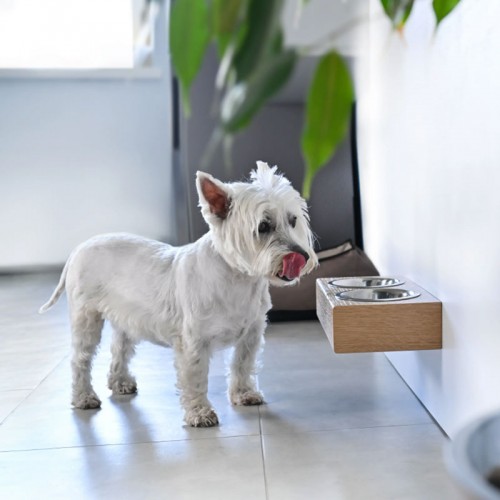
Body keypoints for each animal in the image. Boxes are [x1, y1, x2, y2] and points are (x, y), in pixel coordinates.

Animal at [41, 162, 318, 428]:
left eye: (293, 220)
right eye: (263, 226)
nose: (302, 256)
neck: (238, 279)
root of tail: (79, 248)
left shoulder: (251, 332)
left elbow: (242, 364)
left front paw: (244, 394)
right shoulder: (193, 341)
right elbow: (195, 378)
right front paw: (200, 413)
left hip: (126, 318)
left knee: (119, 348)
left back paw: (120, 382)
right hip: (86, 317)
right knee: (80, 359)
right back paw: (84, 397)